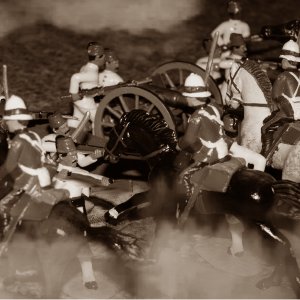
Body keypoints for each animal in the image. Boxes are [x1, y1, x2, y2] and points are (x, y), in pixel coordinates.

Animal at [103, 109, 300, 296]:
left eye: (114, 133)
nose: (106, 154)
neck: (165, 160)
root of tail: (273, 186)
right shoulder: (157, 194)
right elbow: (135, 198)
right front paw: (112, 214)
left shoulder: (166, 203)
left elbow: (154, 225)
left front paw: (151, 258)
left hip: (259, 224)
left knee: (284, 249)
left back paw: (275, 281)